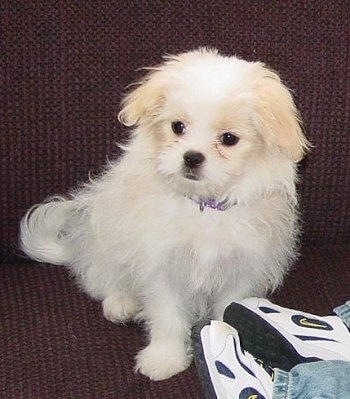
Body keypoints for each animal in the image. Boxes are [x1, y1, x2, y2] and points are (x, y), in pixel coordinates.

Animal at [19, 47, 308, 382]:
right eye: (177, 127)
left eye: (229, 139)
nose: (192, 157)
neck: (203, 207)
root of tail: (79, 248)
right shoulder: (161, 268)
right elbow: (167, 317)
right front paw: (165, 359)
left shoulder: (241, 271)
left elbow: (228, 312)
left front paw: (226, 348)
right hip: (106, 239)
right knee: (101, 277)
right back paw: (121, 302)